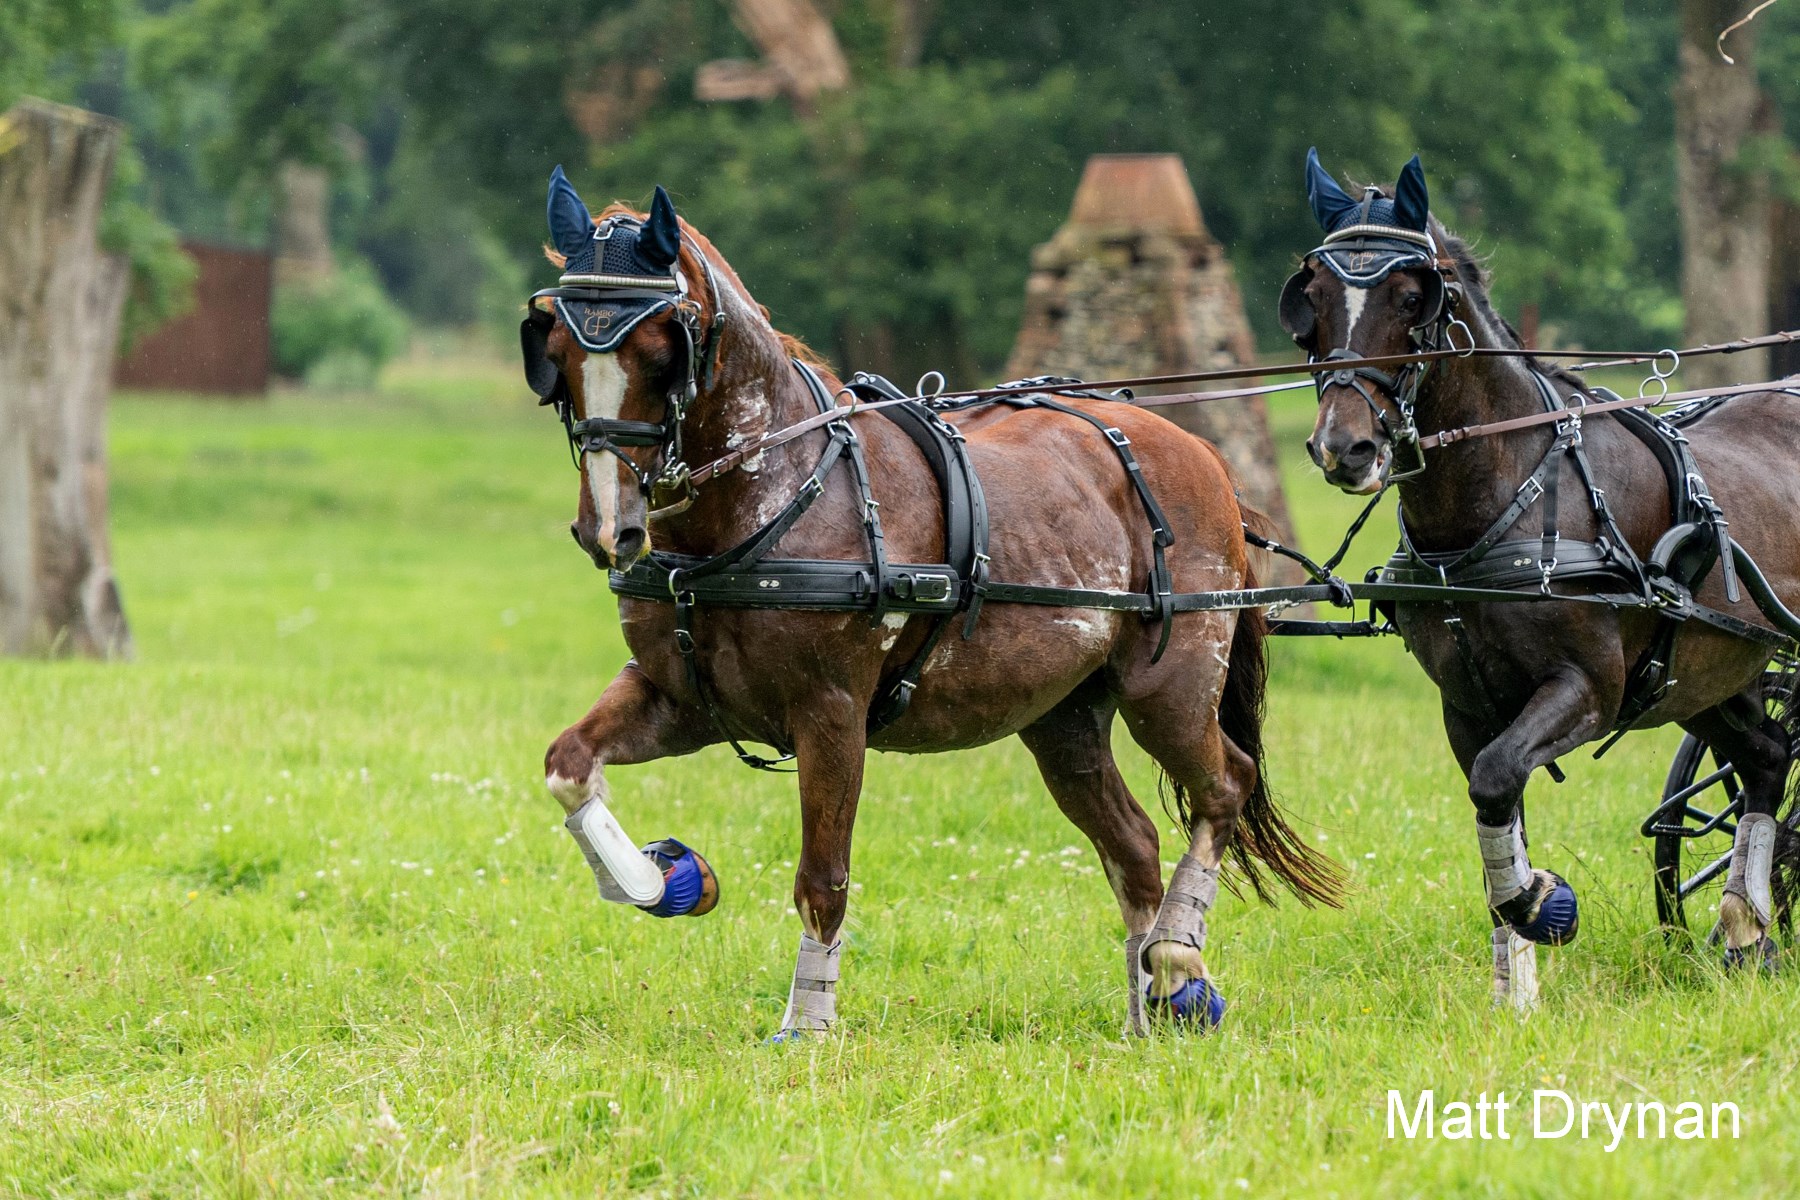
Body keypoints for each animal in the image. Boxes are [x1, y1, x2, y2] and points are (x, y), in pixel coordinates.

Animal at [522, 170, 1339, 1043]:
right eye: (558, 353)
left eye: (660, 351)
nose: (609, 527)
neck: (769, 498)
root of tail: (1203, 456)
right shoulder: (680, 699)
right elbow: (568, 765)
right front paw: (665, 881)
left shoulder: (831, 714)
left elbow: (823, 879)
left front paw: (808, 1029)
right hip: (1063, 720)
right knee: (1134, 845)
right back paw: (1145, 1012)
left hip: (1172, 687)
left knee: (1224, 787)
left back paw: (1180, 958)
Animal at [1281, 147, 1800, 978]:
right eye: (1316, 298)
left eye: (1411, 296)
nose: (1343, 447)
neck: (1501, 499)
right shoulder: (1466, 704)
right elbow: (1495, 799)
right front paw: (1513, 967)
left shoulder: (1588, 687)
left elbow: (1499, 778)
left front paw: (1539, 904)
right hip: (1714, 671)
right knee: (1767, 759)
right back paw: (1746, 929)